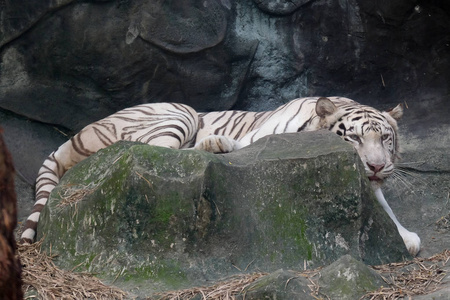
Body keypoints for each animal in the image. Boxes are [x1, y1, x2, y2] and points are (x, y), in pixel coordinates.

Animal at [20, 97, 422, 256]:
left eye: (385, 139)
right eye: (353, 138)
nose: (376, 166)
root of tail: (69, 139)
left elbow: (382, 205)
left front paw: (405, 236)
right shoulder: (263, 135)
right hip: (177, 111)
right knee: (157, 152)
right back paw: (215, 143)